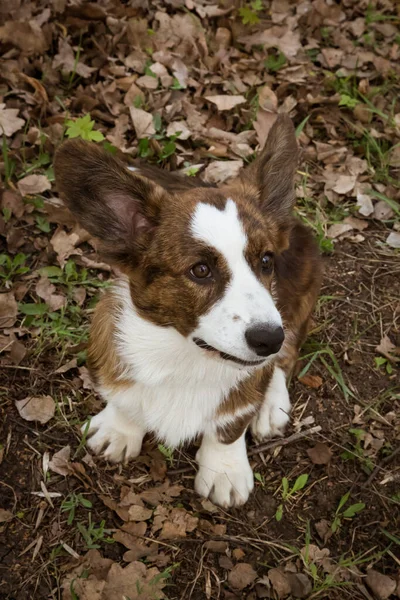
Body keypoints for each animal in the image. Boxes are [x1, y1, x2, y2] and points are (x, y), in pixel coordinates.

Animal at [54, 113, 322, 506]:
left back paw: (272, 404)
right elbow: (125, 402)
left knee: (286, 358)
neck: (184, 358)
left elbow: (230, 426)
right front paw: (120, 429)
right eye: (200, 270)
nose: (268, 339)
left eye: (266, 260)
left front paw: (224, 471)